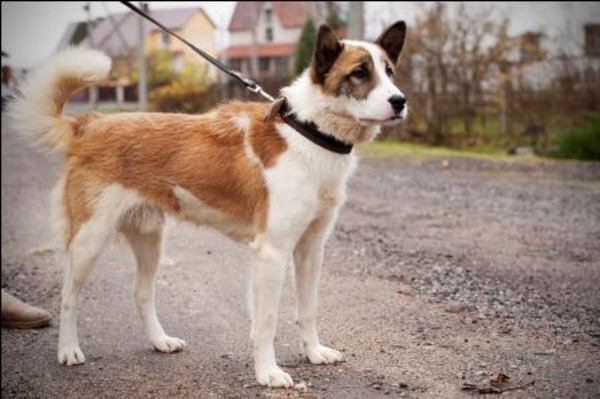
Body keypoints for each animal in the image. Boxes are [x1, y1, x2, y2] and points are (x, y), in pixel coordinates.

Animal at [7, 21, 408, 388]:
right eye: (360, 73)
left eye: (389, 71)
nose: (400, 101)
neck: (308, 131)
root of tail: (88, 126)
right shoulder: (272, 252)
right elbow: (267, 321)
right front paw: (268, 372)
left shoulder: (311, 249)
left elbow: (307, 309)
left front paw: (313, 352)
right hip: (89, 240)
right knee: (68, 297)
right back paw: (68, 350)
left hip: (149, 241)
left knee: (141, 294)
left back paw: (160, 341)